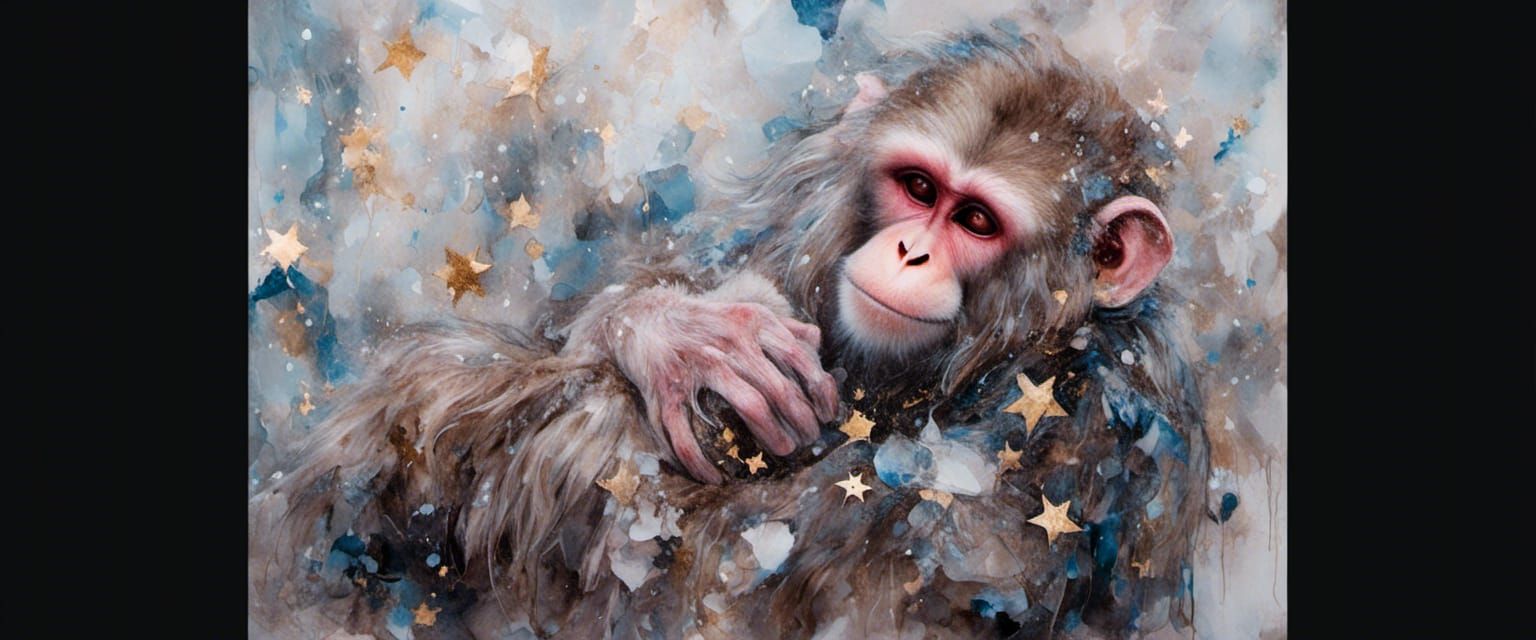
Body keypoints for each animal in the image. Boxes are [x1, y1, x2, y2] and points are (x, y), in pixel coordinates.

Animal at [249, 31, 1209, 640]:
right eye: (917, 186)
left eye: (975, 219)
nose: (911, 250)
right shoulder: (802, 226)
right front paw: (677, 333)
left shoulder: (1073, 424)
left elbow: (740, 582)